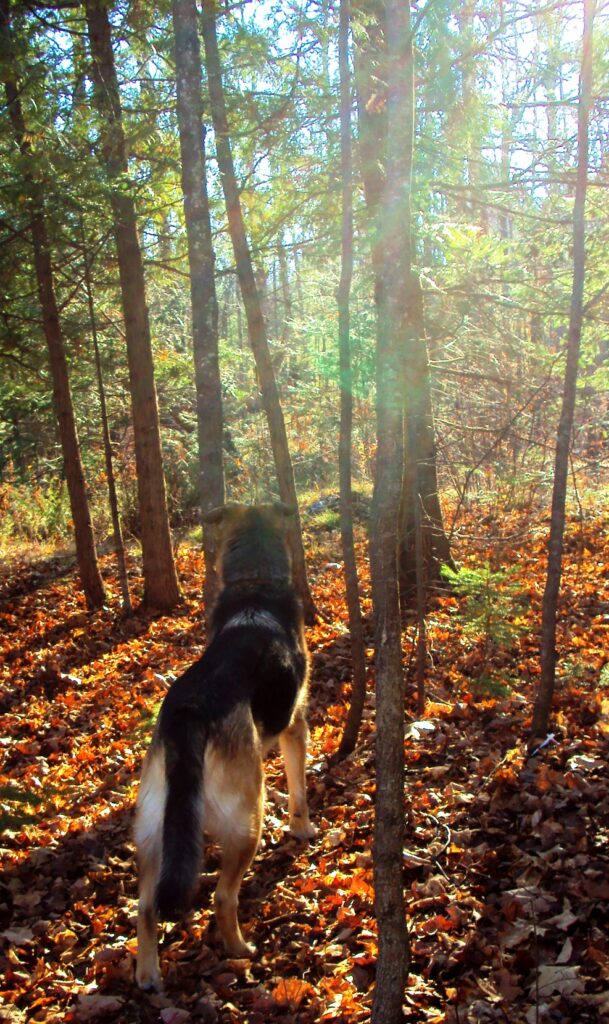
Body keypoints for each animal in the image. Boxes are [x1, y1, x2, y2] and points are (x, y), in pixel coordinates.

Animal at [136, 501, 317, 991]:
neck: (254, 584)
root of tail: (188, 713)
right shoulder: (295, 725)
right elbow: (299, 790)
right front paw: (303, 829)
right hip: (245, 821)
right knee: (222, 896)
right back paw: (240, 950)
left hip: (154, 832)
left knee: (146, 906)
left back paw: (147, 974)